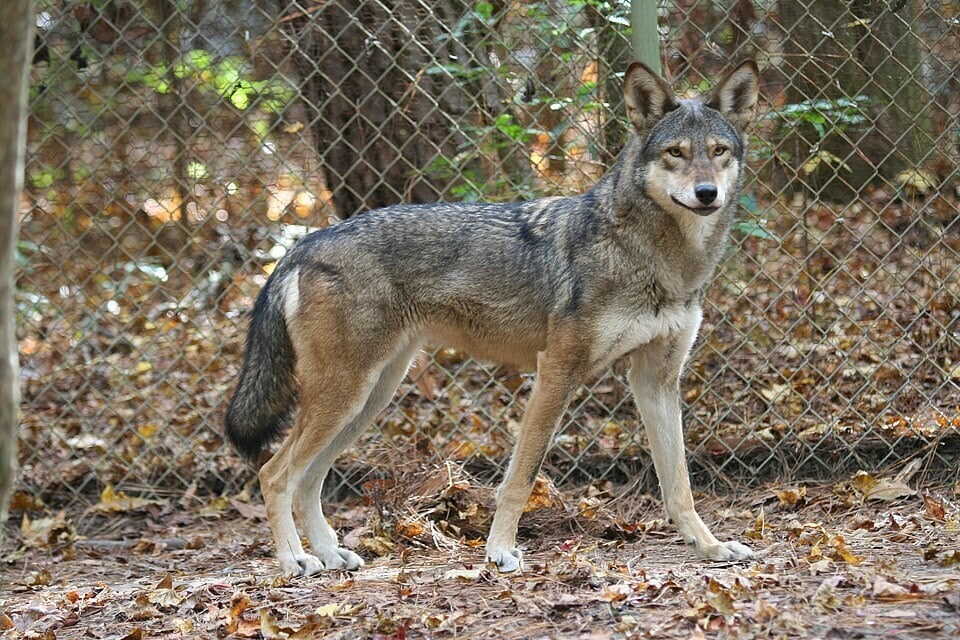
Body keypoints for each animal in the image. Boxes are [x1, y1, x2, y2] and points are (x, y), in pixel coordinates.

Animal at [225, 60, 760, 577]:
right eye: (675, 153)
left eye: (718, 151)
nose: (707, 192)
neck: (656, 256)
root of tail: (305, 243)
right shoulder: (557, 372)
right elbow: (520, 478)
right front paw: (500, 551)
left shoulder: (656, 380)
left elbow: (679, 485)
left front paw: (710, 547)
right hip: (346, 395)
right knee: (274, 473)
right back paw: (294, 560)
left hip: (368, 398)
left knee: (307, 479)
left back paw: (331, 555)